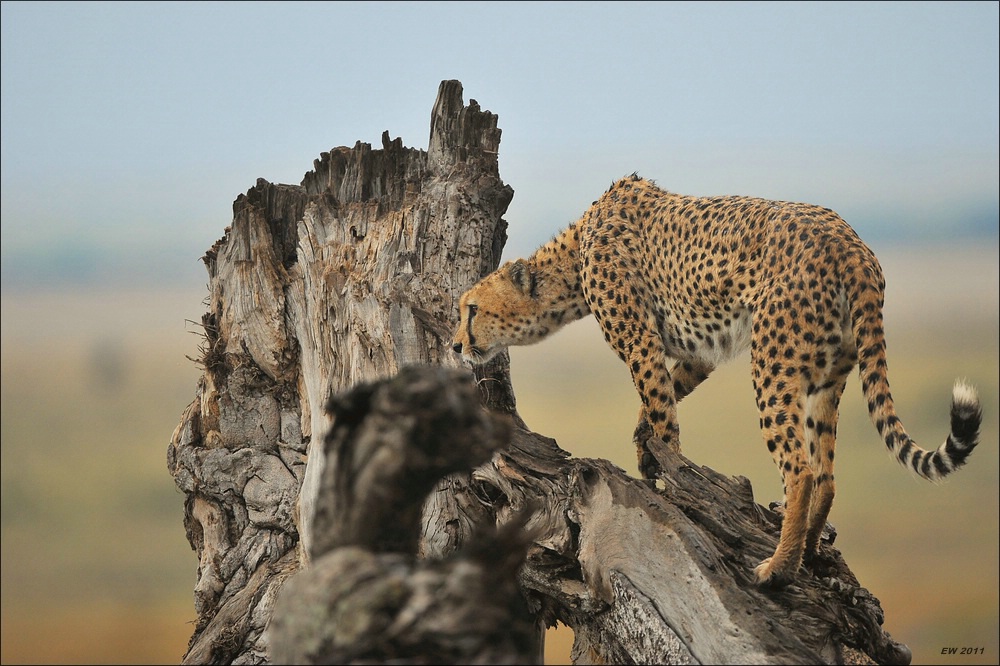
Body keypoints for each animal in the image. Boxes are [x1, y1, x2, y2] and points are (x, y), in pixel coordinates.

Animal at [456, 174, 984, 584]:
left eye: (472, 309)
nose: (457, 345)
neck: (575, 252)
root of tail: (852, 244)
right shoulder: (695, 354)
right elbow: (661, 403)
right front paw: (646, 449)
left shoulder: (643, 346)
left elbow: (663, 413)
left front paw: (668, 487)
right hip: (827, 378)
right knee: (827, 474)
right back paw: (810, 551)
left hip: (772, 363)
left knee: (801, 469)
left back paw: (778, 569)